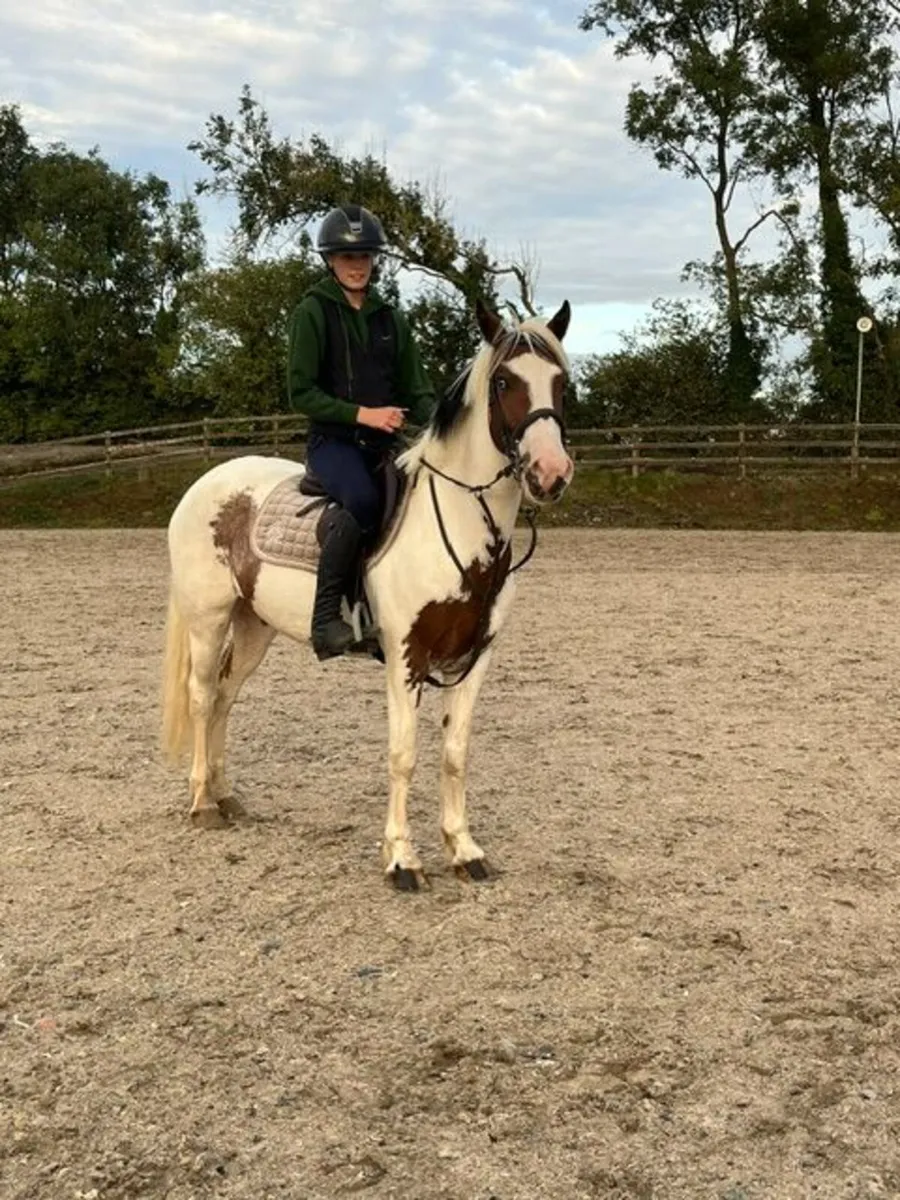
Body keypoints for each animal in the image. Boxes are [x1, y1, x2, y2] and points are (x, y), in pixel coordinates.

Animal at [161, 299, 574, 890]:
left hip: (253, 627)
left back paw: (225, 796)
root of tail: (208, 482)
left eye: (561, 382)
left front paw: (464, 850)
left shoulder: (475, 659)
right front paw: (402, 859)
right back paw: (202, 804)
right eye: (503, 382)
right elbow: (403, 755)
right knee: (200, 697)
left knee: (224, 696)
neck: (458, 524)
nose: (551, 472)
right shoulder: (406, 657)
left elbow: (455, 753)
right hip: (209, 618)